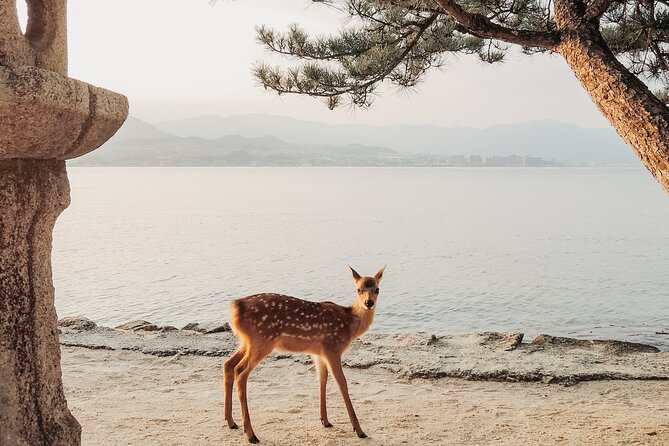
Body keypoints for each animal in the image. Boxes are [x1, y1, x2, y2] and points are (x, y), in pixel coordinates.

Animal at [222, 264, 384, 442]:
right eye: (359, 289)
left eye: (377, 289)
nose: (368, 303)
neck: (349, 325)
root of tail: (235, 308)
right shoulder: (332, 347)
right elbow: (342, 384)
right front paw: (359, 430)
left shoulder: (319, 353)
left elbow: (322, 380)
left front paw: (325, 420)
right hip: (262, 340)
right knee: (240, 371)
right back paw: (251, 434)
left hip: (247, 342)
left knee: (228, 364)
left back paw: (231, 422)